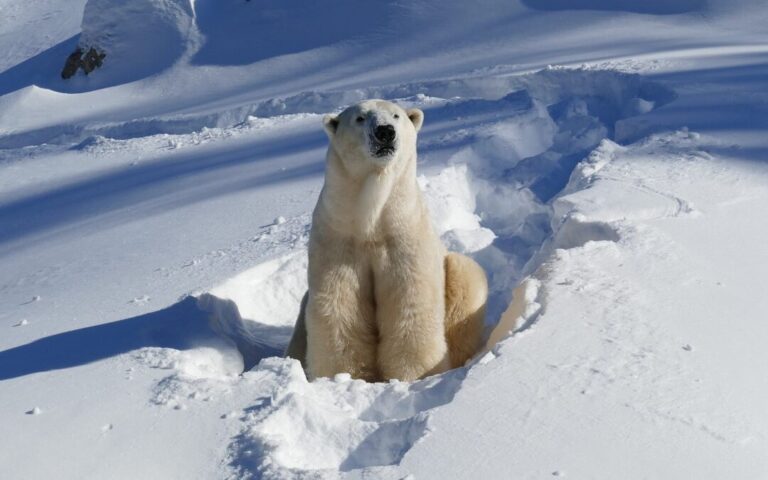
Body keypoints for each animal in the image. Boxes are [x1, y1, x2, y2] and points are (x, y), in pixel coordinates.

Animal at [285, 99, 487, 382]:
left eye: (396, 115)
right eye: (360, 118)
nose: (385, 132)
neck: (370, 222)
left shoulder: (403, 234)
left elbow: (410, 301)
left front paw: (415, 374)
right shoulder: (339, 237)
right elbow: (340, 306)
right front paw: (342, 376)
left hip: (458, 277)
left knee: (464, 279)